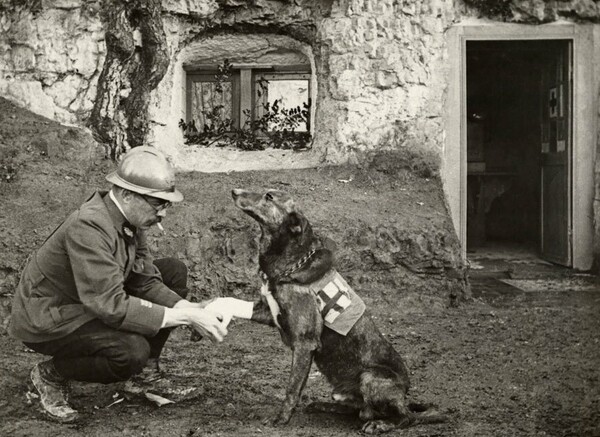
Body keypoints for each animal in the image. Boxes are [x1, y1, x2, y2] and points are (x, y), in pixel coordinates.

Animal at [232, 187, 448, 432]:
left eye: (269, 197)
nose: (234, 191)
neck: (291, 263)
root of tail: (405, 394)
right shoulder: (270, 313)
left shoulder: (304, 343)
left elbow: (292, 388)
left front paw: (281, 418)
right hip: (343, 391)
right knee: (358, 410)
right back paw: (325, 406)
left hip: (370, 377)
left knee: (405, 418)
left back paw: (381, 424)